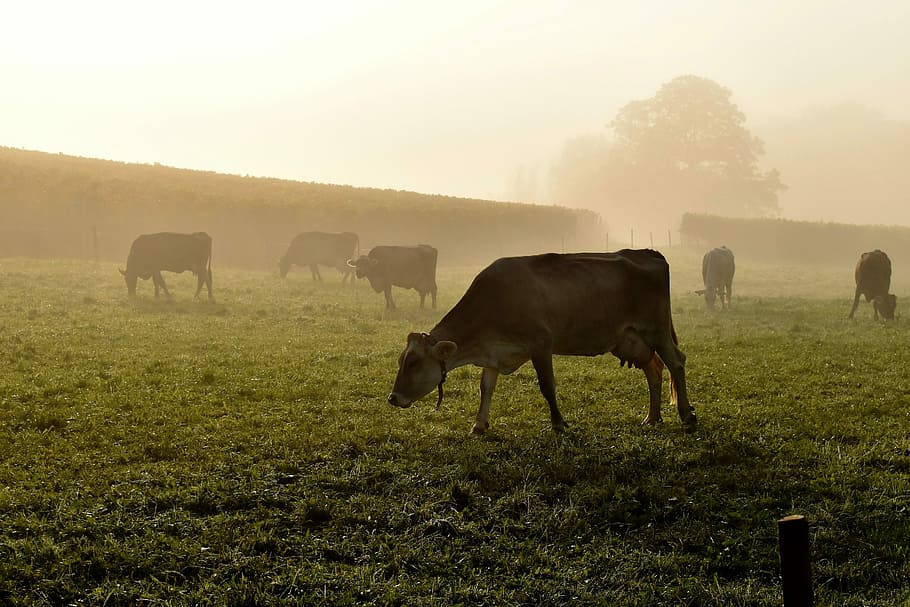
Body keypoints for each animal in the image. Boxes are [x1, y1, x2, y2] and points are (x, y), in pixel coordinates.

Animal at [386, 249, 695, 434]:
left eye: (413, 362)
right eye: (402, 360)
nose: (393, 398)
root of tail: (647, 253)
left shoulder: (541, 344)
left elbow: (547, 386)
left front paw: (558, 423)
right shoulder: (494, 353)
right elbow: (486, 388)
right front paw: (479, 424)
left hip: (656, 331)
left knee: (676, 362)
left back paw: (686, 414)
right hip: (632, 340)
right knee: (654, 370)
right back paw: (652, 417)